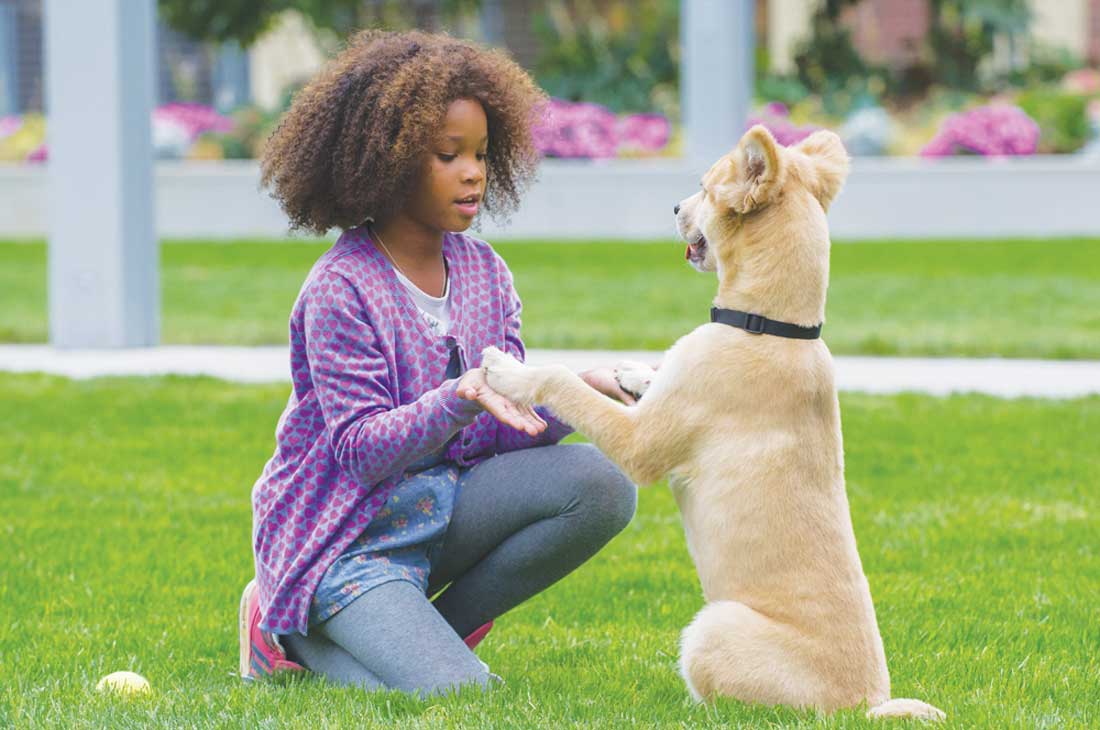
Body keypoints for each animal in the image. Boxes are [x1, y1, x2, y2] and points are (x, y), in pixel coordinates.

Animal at [484, 125, 946, 716]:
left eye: (704, 189)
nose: (675, 206)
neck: (770, 326)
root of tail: (861, 707)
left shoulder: (639, 444)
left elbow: (563, 381)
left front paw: (511, 372)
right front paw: (634, 373)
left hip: (712, 627)